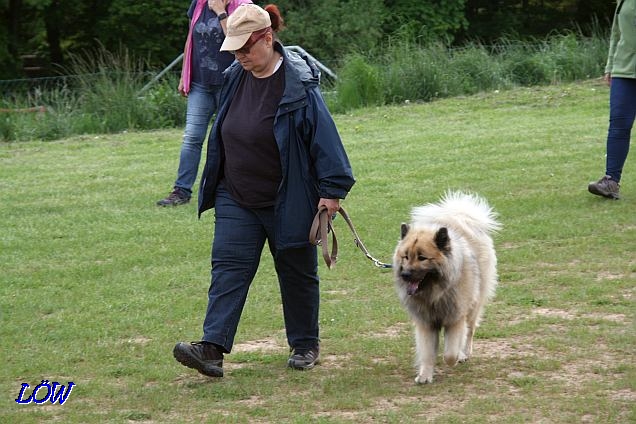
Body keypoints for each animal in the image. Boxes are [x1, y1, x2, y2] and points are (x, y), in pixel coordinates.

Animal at [392, 190, 502, 382]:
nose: (405, 275)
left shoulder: (455, 318)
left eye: (422, 258)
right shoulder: (426, 323)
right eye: (406, 256)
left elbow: (450, 353)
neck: (435, 292)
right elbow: (427, 352)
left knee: (470, 330)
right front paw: (425, 375)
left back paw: (465, 353)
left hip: (473, 306)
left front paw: (455, 358)